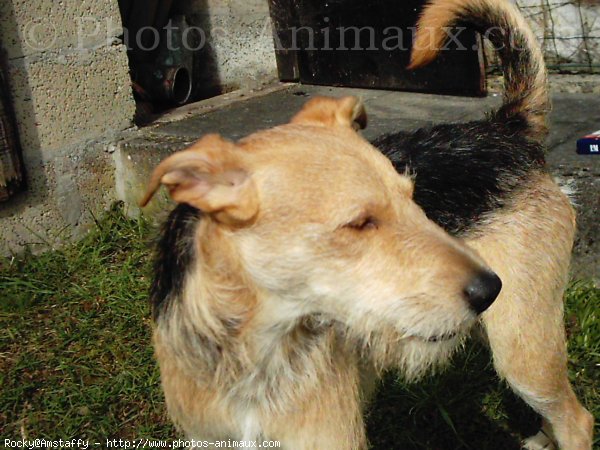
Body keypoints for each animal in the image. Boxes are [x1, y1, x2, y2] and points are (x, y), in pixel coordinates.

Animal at [142, 0, 596, 446]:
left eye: (413, 199)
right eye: (360, 223)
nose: (490, 287)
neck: (254, 356)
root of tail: (507, 128)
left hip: (521, 347)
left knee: (577, 419)